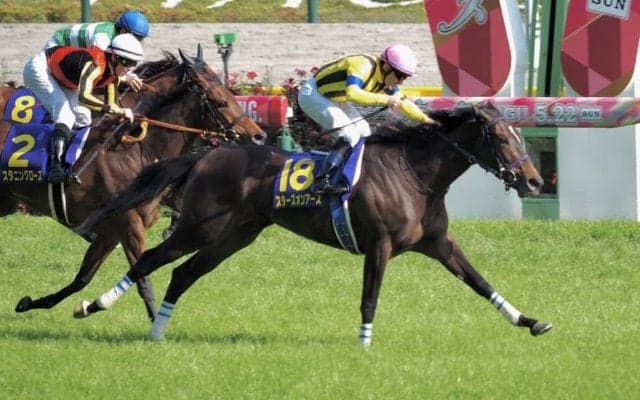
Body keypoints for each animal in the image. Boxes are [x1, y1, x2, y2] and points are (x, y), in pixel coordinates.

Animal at [1, 47, 266, 320]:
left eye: (231, 94)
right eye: (220, 101)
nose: (258, 136)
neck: (138, 148)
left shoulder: (111, 230)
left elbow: (82, 278)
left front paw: (33, 303)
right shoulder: (130, 224)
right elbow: (143, 278)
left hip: (6, 201)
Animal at [74, 101, 552, 344]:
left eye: (520, 135)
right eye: (502, 138)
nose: (533, 180)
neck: (415, 176)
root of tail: (208, 154)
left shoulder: (438, 243)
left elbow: (480, 282)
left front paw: (531, 321)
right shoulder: (378, 245)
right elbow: (370, 298)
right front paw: (364, 344)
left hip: (235, 236)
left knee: (182, 273)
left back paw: (158, 330)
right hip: (200, 226)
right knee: (148, 261)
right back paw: (91, 306)